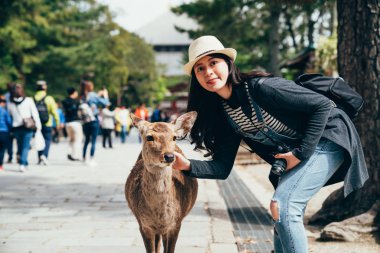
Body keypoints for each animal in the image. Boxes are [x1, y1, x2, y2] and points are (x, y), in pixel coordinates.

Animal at [126, 111, 199, 252]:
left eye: (174, 137)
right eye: (149, 137)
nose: (169, 156)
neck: (159, 215)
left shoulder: (176, 223)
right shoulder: (143, 224)